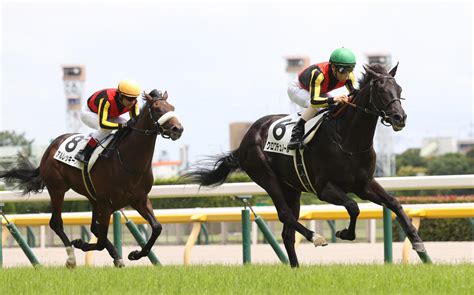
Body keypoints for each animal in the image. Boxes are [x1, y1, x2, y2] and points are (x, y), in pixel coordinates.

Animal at [0, 91, 183, 268]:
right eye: (157, 109)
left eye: (172, 107)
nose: (178, 129)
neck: (128, 160)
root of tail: (50, 149)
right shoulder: (106, 202)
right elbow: (100, 241)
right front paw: (80, 243)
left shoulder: (139, 199)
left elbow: (157, 227)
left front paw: (135, 254)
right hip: (57, 189)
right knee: (56, 223)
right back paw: (72, 258)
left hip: (92, 197)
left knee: (94, 228)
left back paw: (116, 257)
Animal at [186, 64, 430, 268]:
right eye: (380, 90)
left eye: (398, 88)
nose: (399, 117)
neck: (347, 140)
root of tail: (245, 140)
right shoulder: (324, 188)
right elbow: (353, 206)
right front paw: (344, 233)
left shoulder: (364, 185)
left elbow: (394, 203)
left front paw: (418, 243)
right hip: (266, 176)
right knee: (286, 215)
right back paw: (316, 238)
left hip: (292, 189)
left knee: (287, 233)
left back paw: (295, 267)